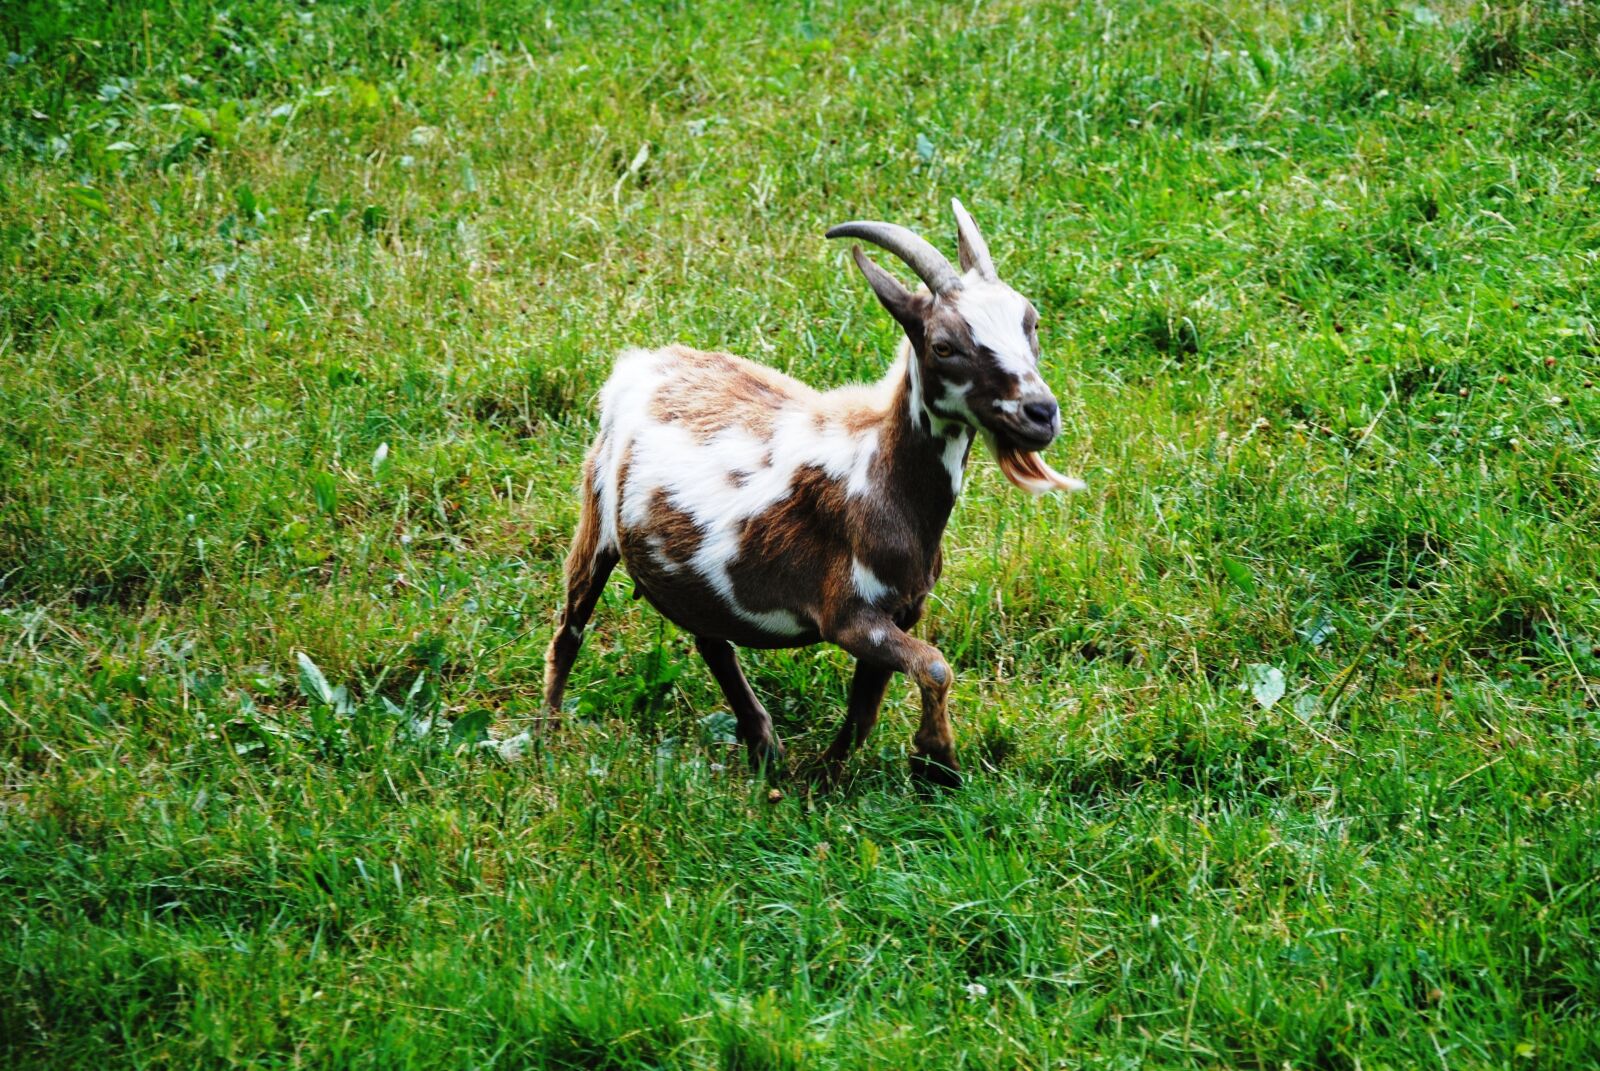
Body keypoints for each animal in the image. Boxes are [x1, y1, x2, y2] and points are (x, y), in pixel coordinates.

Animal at [543, 200, 1085, 786]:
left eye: (1031, 322)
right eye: (944, 345)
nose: (1041, 413)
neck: (879, 477)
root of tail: (641, 364)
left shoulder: (902, 610)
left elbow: (867, 703)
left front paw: (829, 771)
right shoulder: (848, 616)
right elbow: (935, 665)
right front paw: (938, 761)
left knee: (710, 638)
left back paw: (764, 745)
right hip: (597, 517)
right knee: (570, 627)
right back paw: (545, 740)